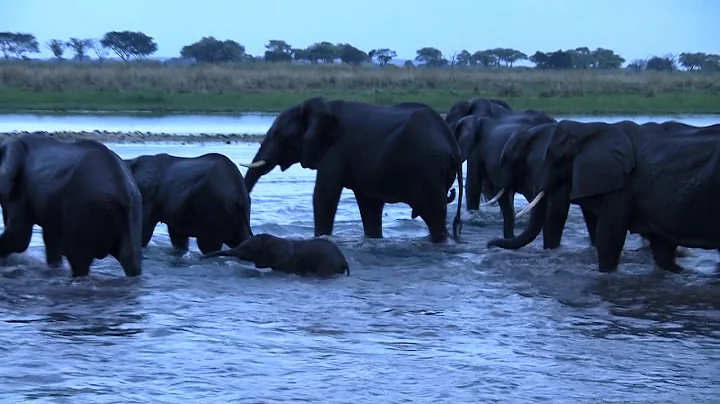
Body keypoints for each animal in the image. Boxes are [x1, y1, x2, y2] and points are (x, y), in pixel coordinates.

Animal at [0, 133, 142, 277]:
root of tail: (123, 190)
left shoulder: (20, 187)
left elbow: (19, 237)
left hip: (84, 207)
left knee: (78, 259)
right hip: (132, 212)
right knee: (131, 259)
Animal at [124, 152, 256, 254]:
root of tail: (240, 193)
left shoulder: (148, 197)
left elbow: (143, 232)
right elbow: (177, 236)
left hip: (214, 207)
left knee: (208, 246)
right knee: (240, 241)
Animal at [201, 233, 350, 277]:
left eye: (248, 248)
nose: (200, 258)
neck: (276, 240)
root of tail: (344, 260)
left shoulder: (288, 263)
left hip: (327, 265)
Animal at [243, 97, 464, 243]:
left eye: (278, 134)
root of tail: (453, 146)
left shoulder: (334, 152)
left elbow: (324, 197)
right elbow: (369, 204)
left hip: (428, 170)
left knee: (434, 216)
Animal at [487, 119, 720, 273]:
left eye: (556, 158)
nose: (489, 245)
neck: (592, 129)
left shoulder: (622, 185)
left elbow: (608, 234)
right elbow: (661, 248)